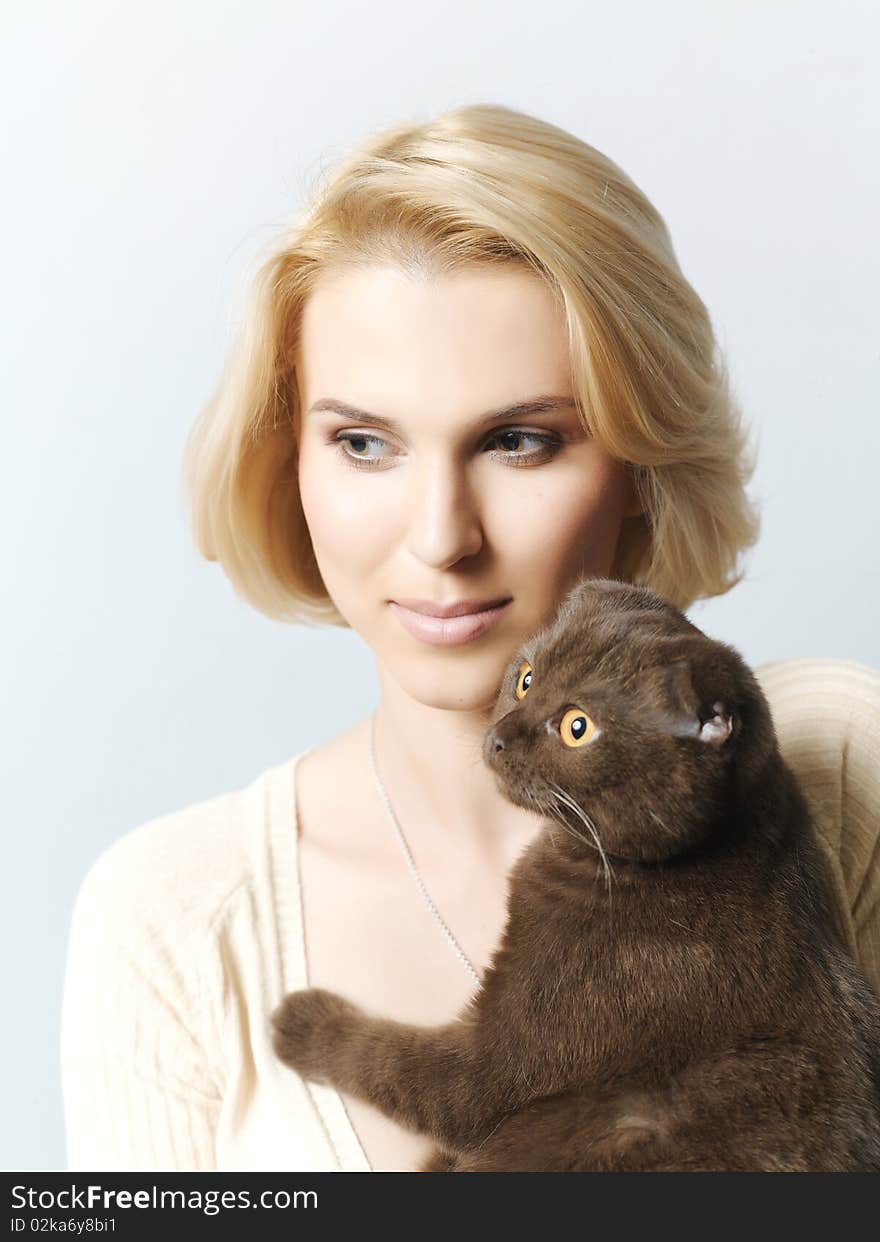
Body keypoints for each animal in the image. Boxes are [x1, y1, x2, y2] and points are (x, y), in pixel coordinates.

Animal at [270, 576, 878, 1167]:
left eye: (576, 728)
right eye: (526, 678)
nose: (498, 736)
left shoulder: (496, 1066)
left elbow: (391, 1060)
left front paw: (296, 1020)